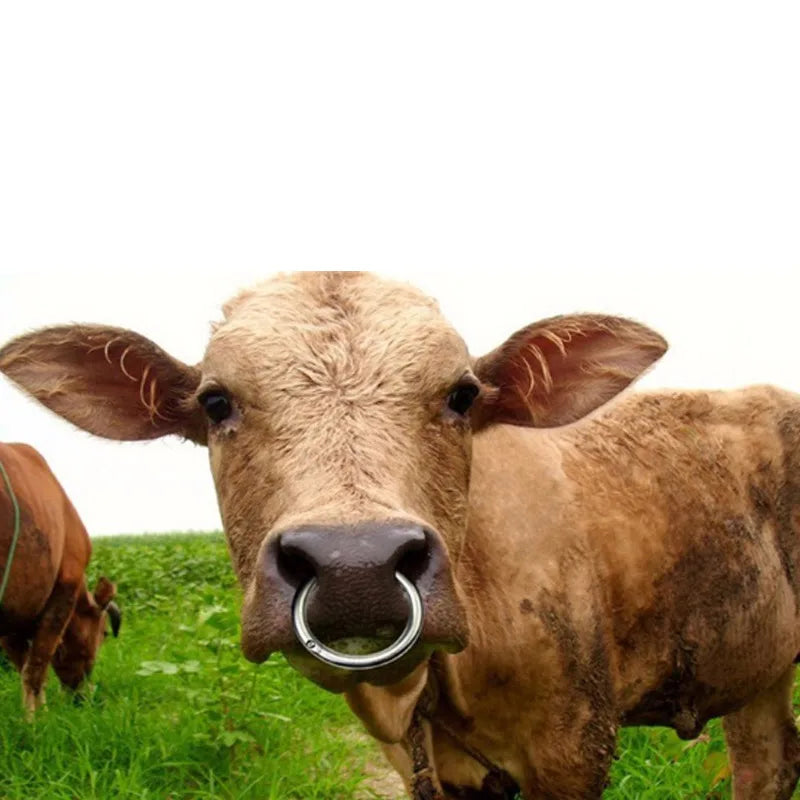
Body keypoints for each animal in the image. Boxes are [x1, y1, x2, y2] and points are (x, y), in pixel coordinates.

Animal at [0, 442, 121, 715]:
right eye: (104, 633)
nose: (81, 698)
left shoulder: (14, 616)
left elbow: (26, 666)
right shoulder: (61, 596)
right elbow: (36, 670)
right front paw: (35, 720)